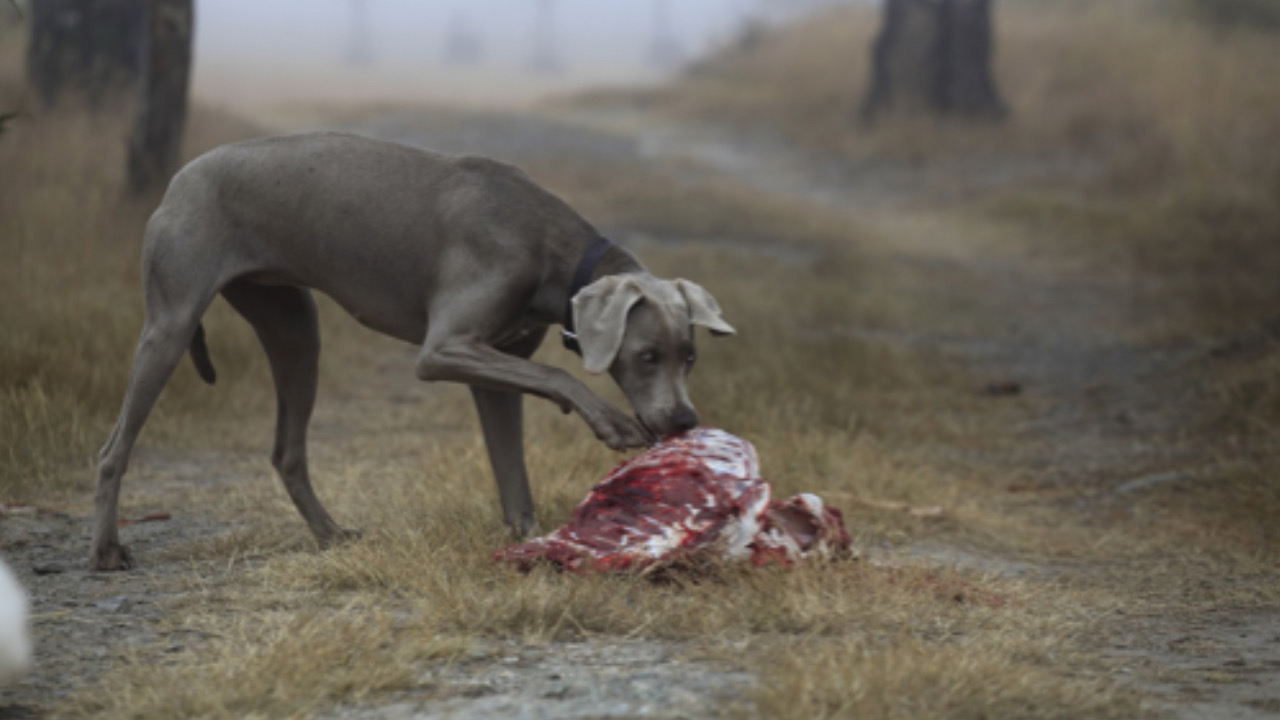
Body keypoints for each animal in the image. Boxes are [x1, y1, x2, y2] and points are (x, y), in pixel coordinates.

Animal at [90, 128, 737, 568]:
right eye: (647, 355)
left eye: (690, 356)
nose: (685, 421)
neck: (553, 248)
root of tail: (180, 177)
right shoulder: (445, 349)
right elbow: (560, 378)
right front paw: (610, 421)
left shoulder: (496, 367)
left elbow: (513, 470)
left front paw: (530, 541)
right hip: (171, 323)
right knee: (113, 448)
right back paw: (107, 551)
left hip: (294, 325)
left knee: (287, 450)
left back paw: (331, 534)